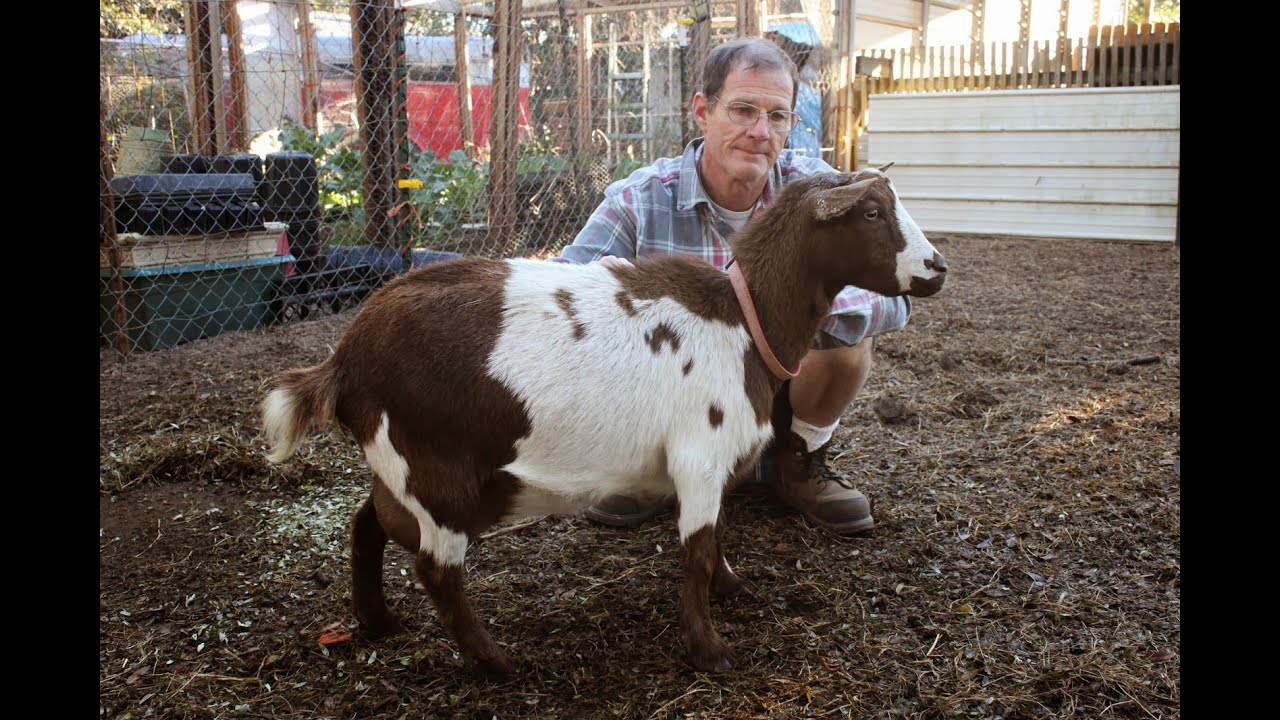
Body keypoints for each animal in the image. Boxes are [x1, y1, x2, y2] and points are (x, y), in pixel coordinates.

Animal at [260, 167, 947, 676]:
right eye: (871, 213)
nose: (937, 268)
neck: (743, 321)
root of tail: (346, 358)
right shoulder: (699, 455)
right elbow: (697, 549)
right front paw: (710, 650)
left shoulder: (713, 465)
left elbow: (717, 537)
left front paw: (731, 588)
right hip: (435, 473)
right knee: (435, 568)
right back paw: (495, 663)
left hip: (400, 469)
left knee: (366, 524)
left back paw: (378, 621)